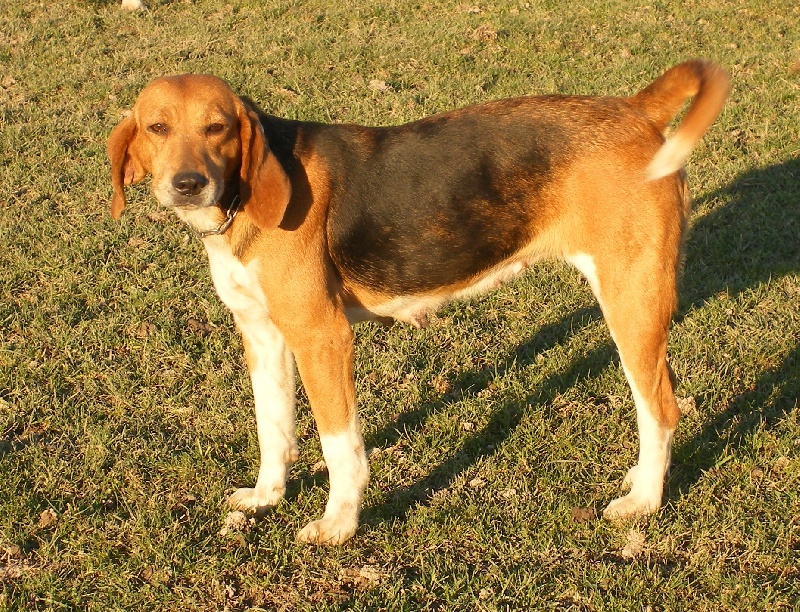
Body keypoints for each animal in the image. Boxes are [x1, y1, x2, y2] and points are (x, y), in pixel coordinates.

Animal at [108, 58, 732, 544]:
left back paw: (643, 501)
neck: (242, 202)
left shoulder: (322, 337)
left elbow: (340, 446)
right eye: (157, 127)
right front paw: (267, 496)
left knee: (661, 410)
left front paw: (339, 524)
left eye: (217, 128)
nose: (188, 184)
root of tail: (634, 108)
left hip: (632, 303)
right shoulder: (263, 336)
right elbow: (273, 427)